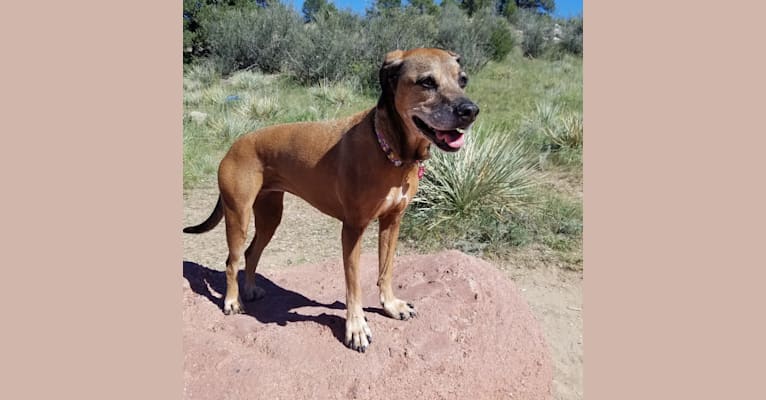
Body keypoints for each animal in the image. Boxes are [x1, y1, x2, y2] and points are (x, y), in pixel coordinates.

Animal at [185, 48, 480, 352]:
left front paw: (390, 305)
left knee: (250, 253)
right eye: (426, 82)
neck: (390, 149)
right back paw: (233, 301)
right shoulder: (353, 229)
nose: (469, 111)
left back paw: (251, 289)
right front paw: (356, 328)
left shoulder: (392, 221)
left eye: (463, 80)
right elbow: (354, 284)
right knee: (231, 260)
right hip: (238, 214)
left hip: (270, 216)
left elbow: (386, 270)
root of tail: (235, 144)